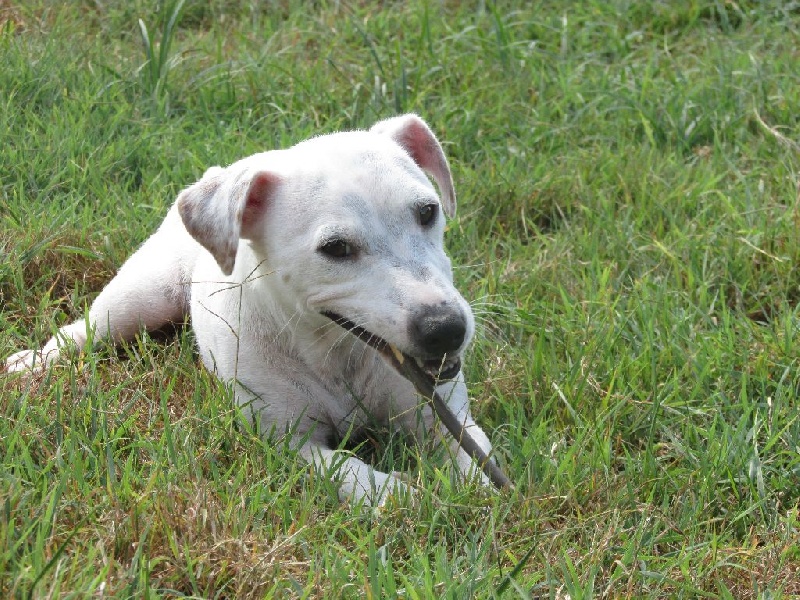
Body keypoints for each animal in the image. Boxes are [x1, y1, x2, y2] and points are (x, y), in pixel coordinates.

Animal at [4, 113, 494, 506]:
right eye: (335, 248)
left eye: (428, 211)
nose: (445, 329)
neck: (335, 353)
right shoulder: (292, 443)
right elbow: (357, 475)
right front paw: (407, 498)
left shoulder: (445, 421)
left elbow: (478, 466)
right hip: (138, 298)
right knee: (83, 330)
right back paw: (33, 363)